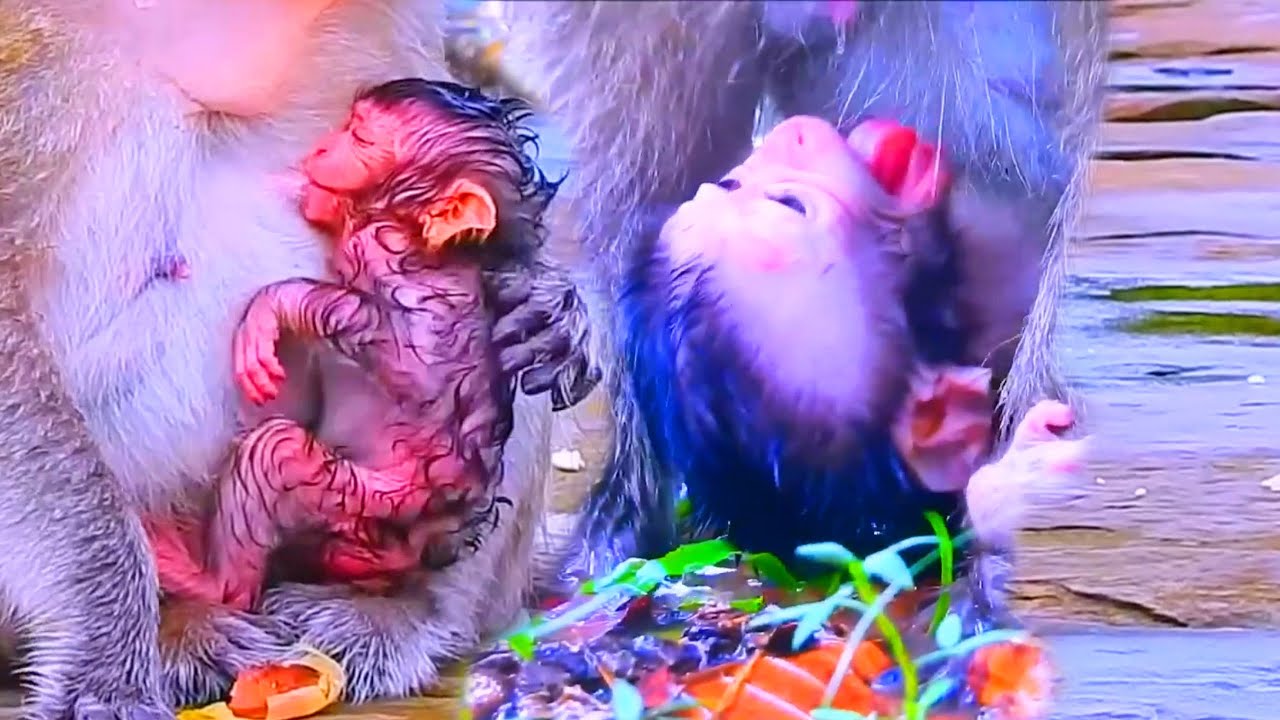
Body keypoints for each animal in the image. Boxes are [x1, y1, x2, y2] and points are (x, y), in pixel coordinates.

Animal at [145, 79, 560, 612]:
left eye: (361, 137)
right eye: (348, 126)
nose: (322, 147)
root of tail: (416, 547)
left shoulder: (385, 247)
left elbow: (406, 355)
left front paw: (272, 308)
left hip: (372, 504)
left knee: (279, 454)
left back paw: (214, 583)